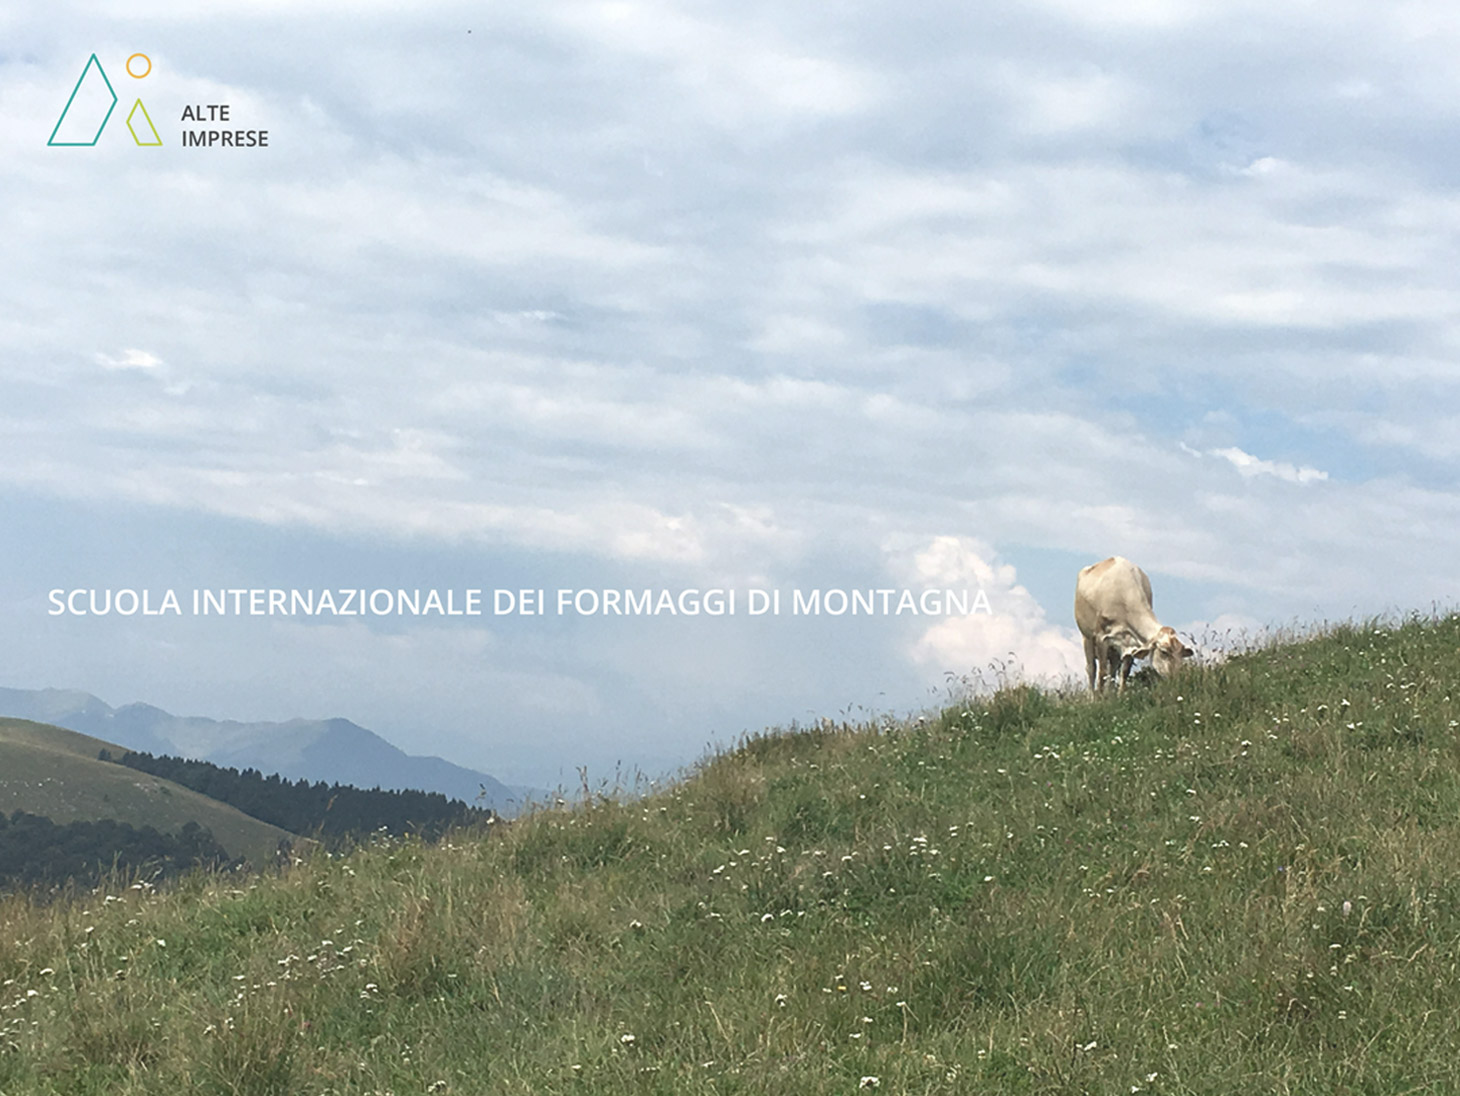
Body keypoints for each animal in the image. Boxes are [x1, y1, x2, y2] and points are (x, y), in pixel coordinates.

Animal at [1074, 557, 1197, 694]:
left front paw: (1120, 695)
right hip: (1087, 637)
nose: (1176, 678)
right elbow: (1102, 673)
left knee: (1112, 671)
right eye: (1164, 652)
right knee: (1091, 669)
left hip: (1113, 651)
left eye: (1181, 654)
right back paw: (1093, 695)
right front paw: (1099, 697)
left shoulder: (1131, 642)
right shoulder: (1102, 638)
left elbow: (1124, 672)